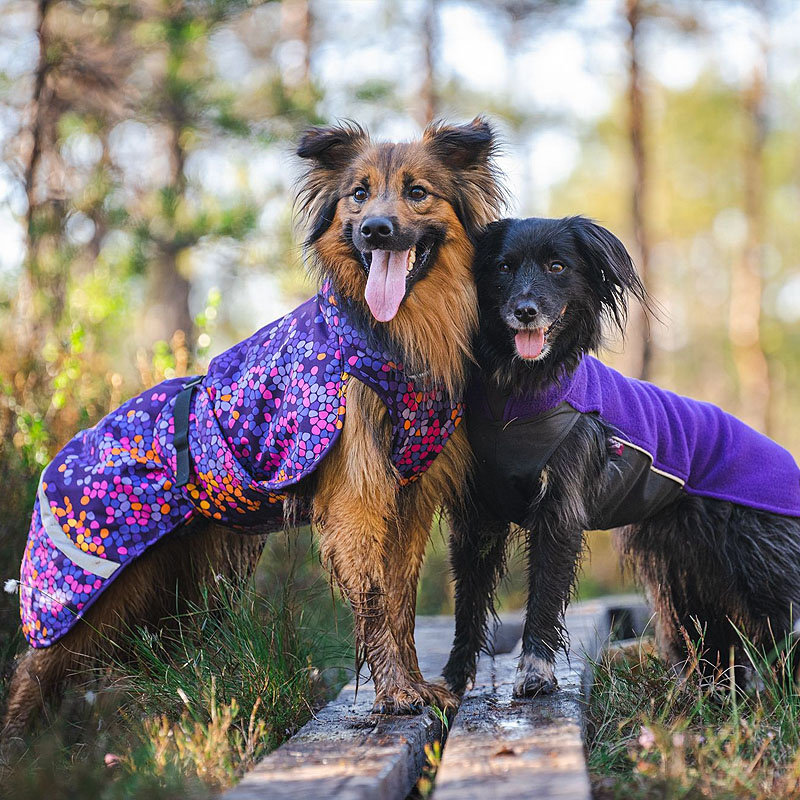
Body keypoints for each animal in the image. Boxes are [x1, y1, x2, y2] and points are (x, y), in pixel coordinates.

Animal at [3, 115, 504, 736]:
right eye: (358, 195)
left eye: (417, 192)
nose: (376, 231)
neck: (389, 337)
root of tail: (53, 460)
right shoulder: (357, 499)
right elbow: (374, 601)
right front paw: (396, 694)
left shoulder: (408, 499)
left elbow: (400, 601)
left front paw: (415, 686)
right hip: (79, 598)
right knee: (30, 673)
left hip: (183, 586)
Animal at [440, 216, 800, 696]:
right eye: (502, 267)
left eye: (557, 266)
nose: (525, 310)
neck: (518, 395)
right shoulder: (477, 514)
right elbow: (468, 601)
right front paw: (450, 682)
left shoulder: (559, 507)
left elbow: (545, 593)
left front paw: (535, 673)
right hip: (684, 577)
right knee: (710, 638)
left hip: (759, 561)